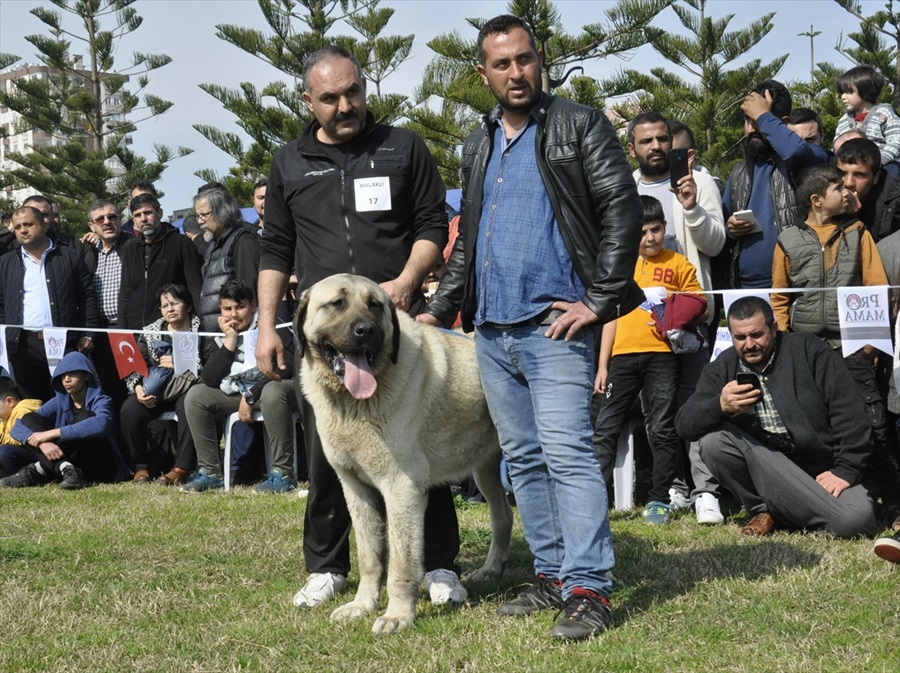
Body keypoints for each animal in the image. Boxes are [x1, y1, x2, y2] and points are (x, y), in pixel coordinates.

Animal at [298, 272, 512, 636]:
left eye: (374, 305)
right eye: (337, 303)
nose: (365, 331)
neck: (353, 403)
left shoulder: (402, 488)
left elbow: (401, 561)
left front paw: (398, 615)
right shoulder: (356, 489)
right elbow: (370, 556)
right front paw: (362, 605)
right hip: (486, 470)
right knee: (503, 516)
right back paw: (491, 570)